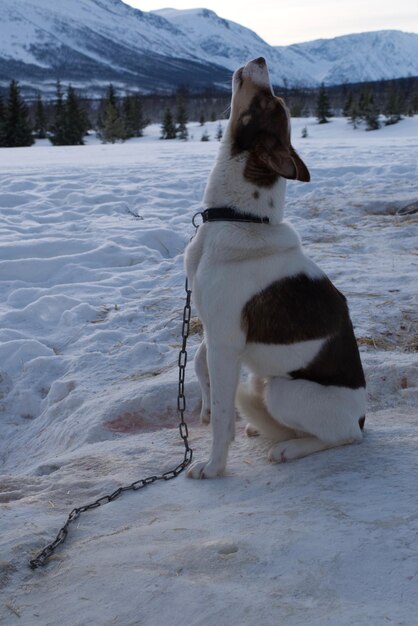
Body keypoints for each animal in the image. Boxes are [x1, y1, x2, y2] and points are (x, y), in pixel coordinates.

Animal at [186, 58, 366, 478]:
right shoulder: (215, 327)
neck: (238, 216)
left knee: (345, 437)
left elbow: (224, 417)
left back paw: (290, 448)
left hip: (283, 390)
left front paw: (214, 465)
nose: (262, 60)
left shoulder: (226, 339)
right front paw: (205, 406)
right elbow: (200, 364)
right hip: (265, 380)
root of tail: (363, 415)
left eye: (270, 102)